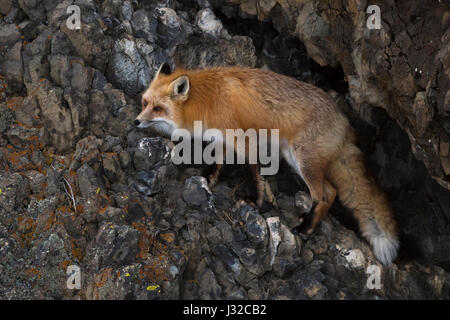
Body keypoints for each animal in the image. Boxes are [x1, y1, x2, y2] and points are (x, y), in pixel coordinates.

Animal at [135, 63, 400, 264]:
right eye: (145, 103)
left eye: (158, 108)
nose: (136, 121)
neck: (206, 99)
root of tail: (345, 124)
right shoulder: (220, 138)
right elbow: (217, 162)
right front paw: (208, 180)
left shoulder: (243, 139)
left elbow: (251, 172)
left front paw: (254, 200)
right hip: (295, 159)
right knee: (332, 190)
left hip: (304, 161)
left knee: (325, 194)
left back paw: (306, 228)